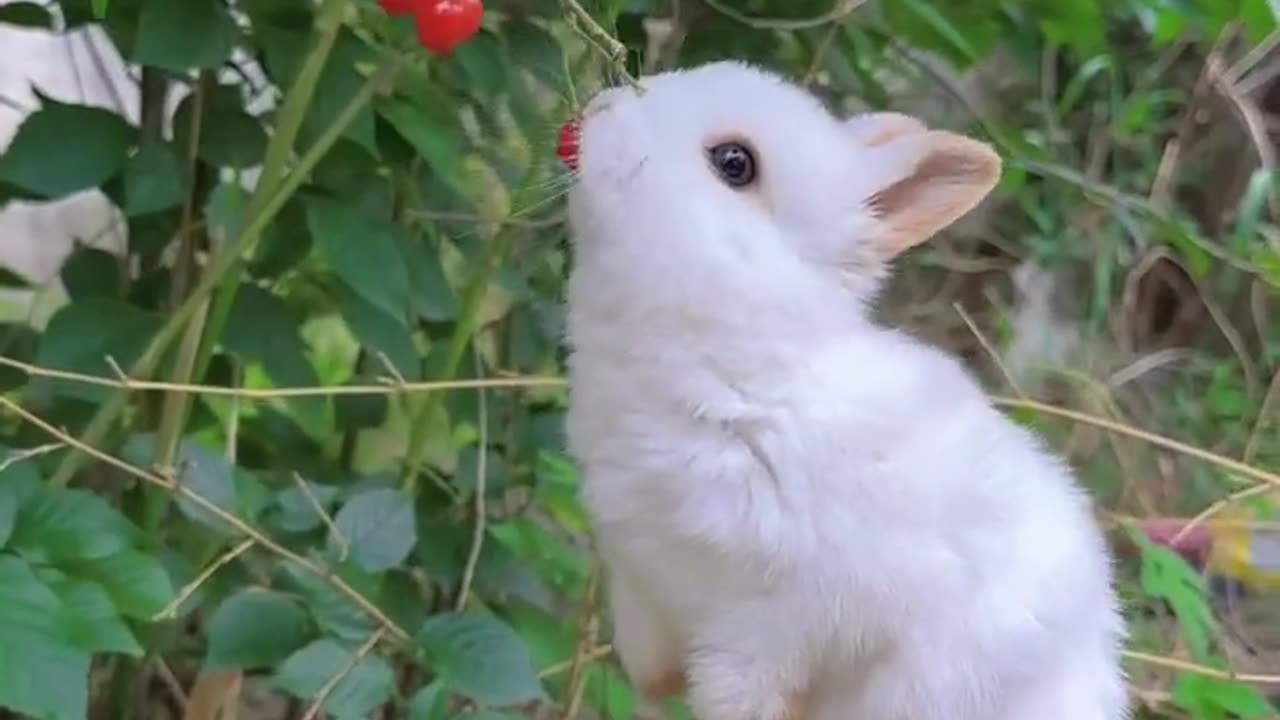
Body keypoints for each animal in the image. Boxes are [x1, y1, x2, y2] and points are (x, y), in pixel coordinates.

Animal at [565, 61, 1126, 717]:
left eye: (734, 163)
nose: (596, 110)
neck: (746, 373)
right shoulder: (641, 588)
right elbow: (648, 667)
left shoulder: (781, 625)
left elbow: (744, 692)